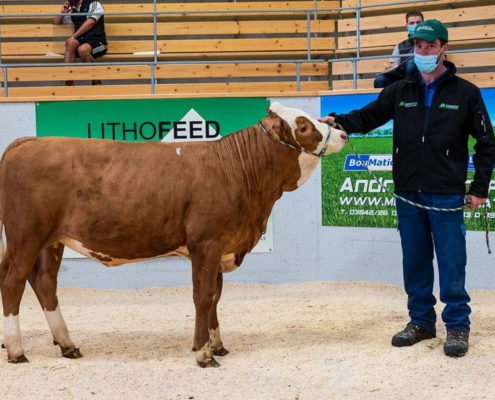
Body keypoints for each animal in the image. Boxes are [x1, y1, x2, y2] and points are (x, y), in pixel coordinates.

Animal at [0, 101, 346, 368]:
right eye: (303, 126)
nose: (342, 132)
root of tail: (28, 141)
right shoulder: (206, 243)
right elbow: (202, 297)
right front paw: (203, 354)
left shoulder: (220, 247)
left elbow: (215, 297)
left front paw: (216, 344)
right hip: (26, 235)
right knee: (13, 282)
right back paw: (16, 350)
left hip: (51, 241)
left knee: (44, 282)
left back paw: (67, 344)